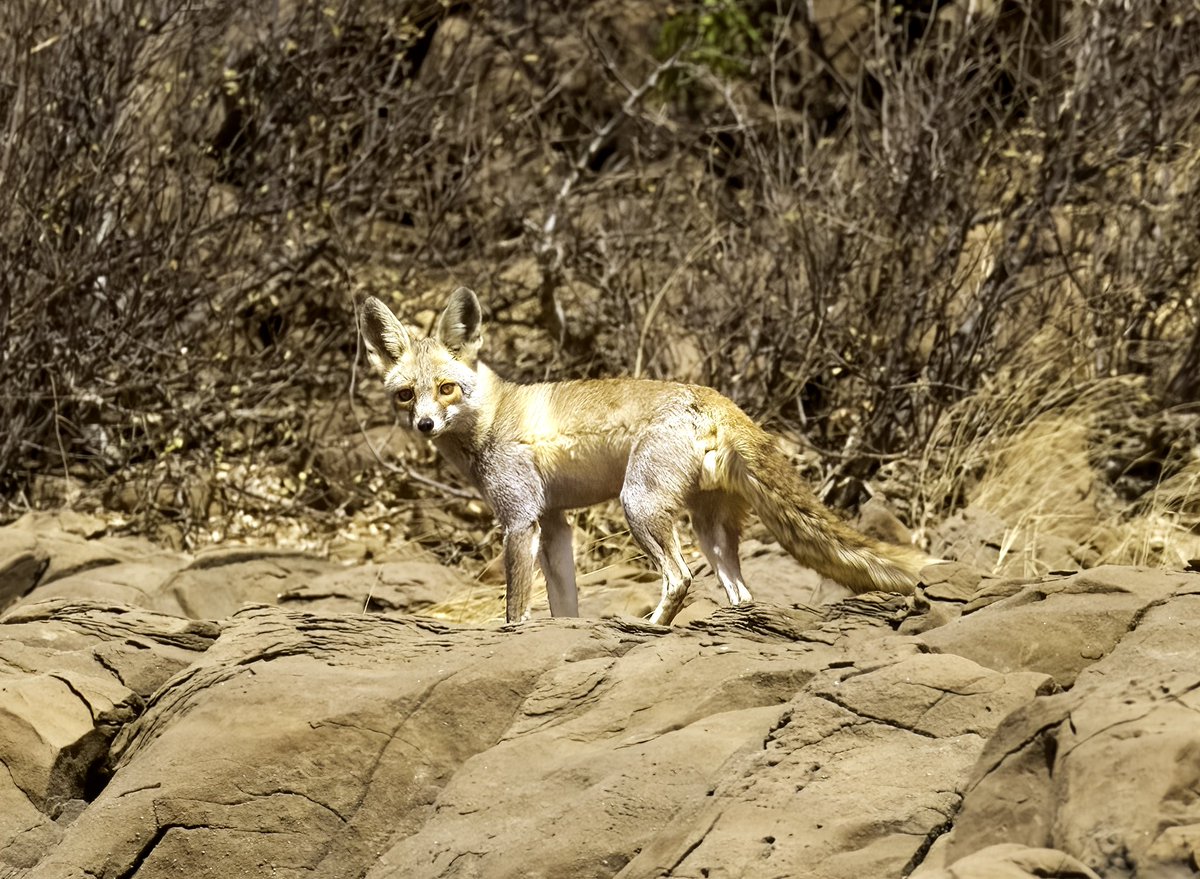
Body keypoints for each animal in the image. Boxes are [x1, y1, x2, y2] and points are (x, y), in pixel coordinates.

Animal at [360, 287, 935, 626]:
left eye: (447, 389)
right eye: (406, 395)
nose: (425, 425)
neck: (493, 417)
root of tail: (713, 395)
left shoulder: (519, 521)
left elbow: (515, 606)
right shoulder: (555, 523)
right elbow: (565, 606)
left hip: (638, 505)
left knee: (679, 579)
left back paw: (652, 628)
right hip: (707, 528)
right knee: (741, 594)